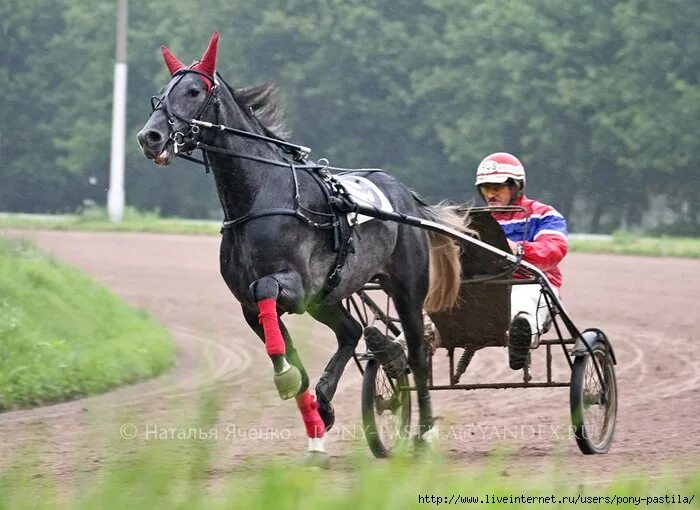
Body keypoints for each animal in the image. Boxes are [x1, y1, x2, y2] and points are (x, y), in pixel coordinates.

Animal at [135, 30, 470, 462]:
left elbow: (268, 296)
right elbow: (287, 353)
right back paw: (331, 401)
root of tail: (405, 196)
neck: (262, 196)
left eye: (193, 91)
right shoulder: (251, 305)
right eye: (160, 95)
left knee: (415, 353)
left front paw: (289, 381)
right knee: (352, 331)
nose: (150, 137)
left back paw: (425, 433)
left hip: (406, 288)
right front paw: (315, 425)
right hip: (328, 296)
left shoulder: (294, 287)